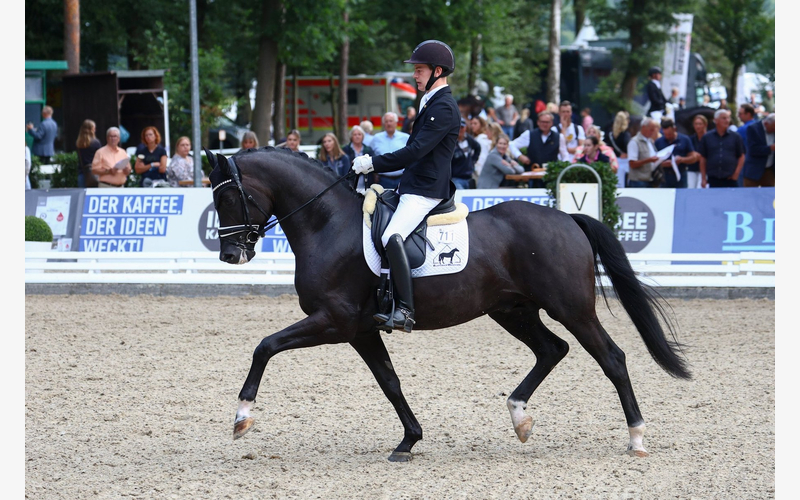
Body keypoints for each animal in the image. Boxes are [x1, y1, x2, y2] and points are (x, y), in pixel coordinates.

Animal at [206, 147, 691, 462]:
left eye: (228, 197)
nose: (230, 256)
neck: (327, 224)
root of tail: (567, 218)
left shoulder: (334, 322)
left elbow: (265, 346)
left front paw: (242, 417)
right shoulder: (361, 330)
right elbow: (390, 382)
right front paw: (409, 441)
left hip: (572, 309)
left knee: (611, 357)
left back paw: (637, 438)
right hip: (513, 310)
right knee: (552, 350)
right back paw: (520, 418)